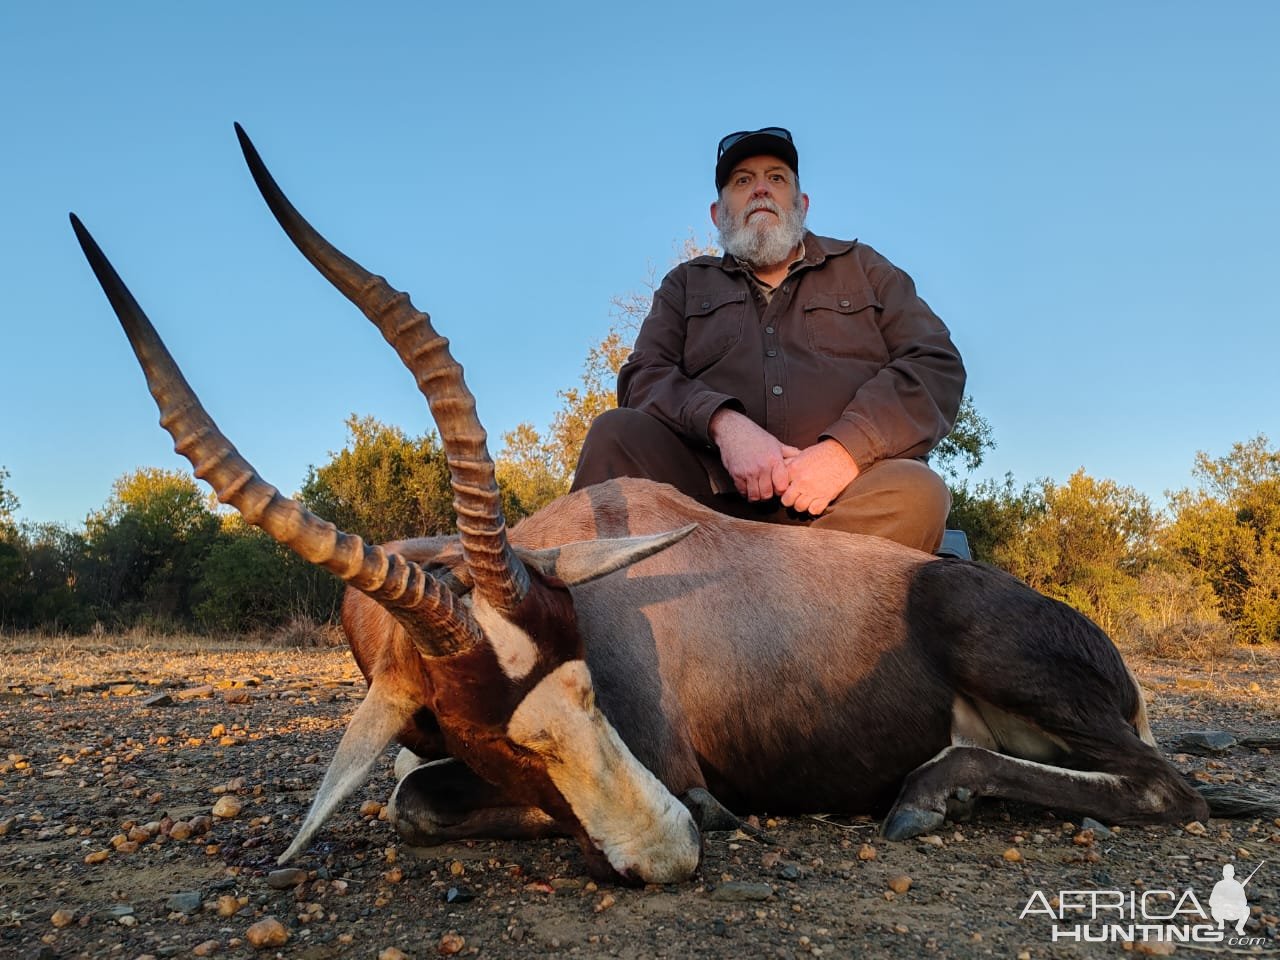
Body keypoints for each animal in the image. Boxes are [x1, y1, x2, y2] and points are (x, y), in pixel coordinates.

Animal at [74, 126, 1264, 885]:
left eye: (594, 685)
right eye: (496, 736)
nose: (674, 850)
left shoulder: (682, 769)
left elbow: (423, 805)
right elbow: (409, 795)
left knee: (1169, 790)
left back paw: (929, 795)